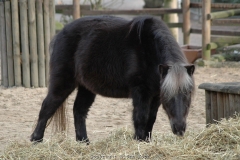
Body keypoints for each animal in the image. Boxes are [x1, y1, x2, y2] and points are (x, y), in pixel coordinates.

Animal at [30, 15, 195, 142]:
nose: (179, 128)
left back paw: (83, 141)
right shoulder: (140, 92)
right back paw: (36, 139)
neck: (149, 50)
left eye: (188, 95)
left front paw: (147, 141)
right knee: (48, 106)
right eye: (169, 97)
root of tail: (60, 34)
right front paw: (139, 141)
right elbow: (141, 117)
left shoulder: (155, 95)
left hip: (86, 87)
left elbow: (151, 119)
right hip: (63, 82)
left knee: (79, 110)